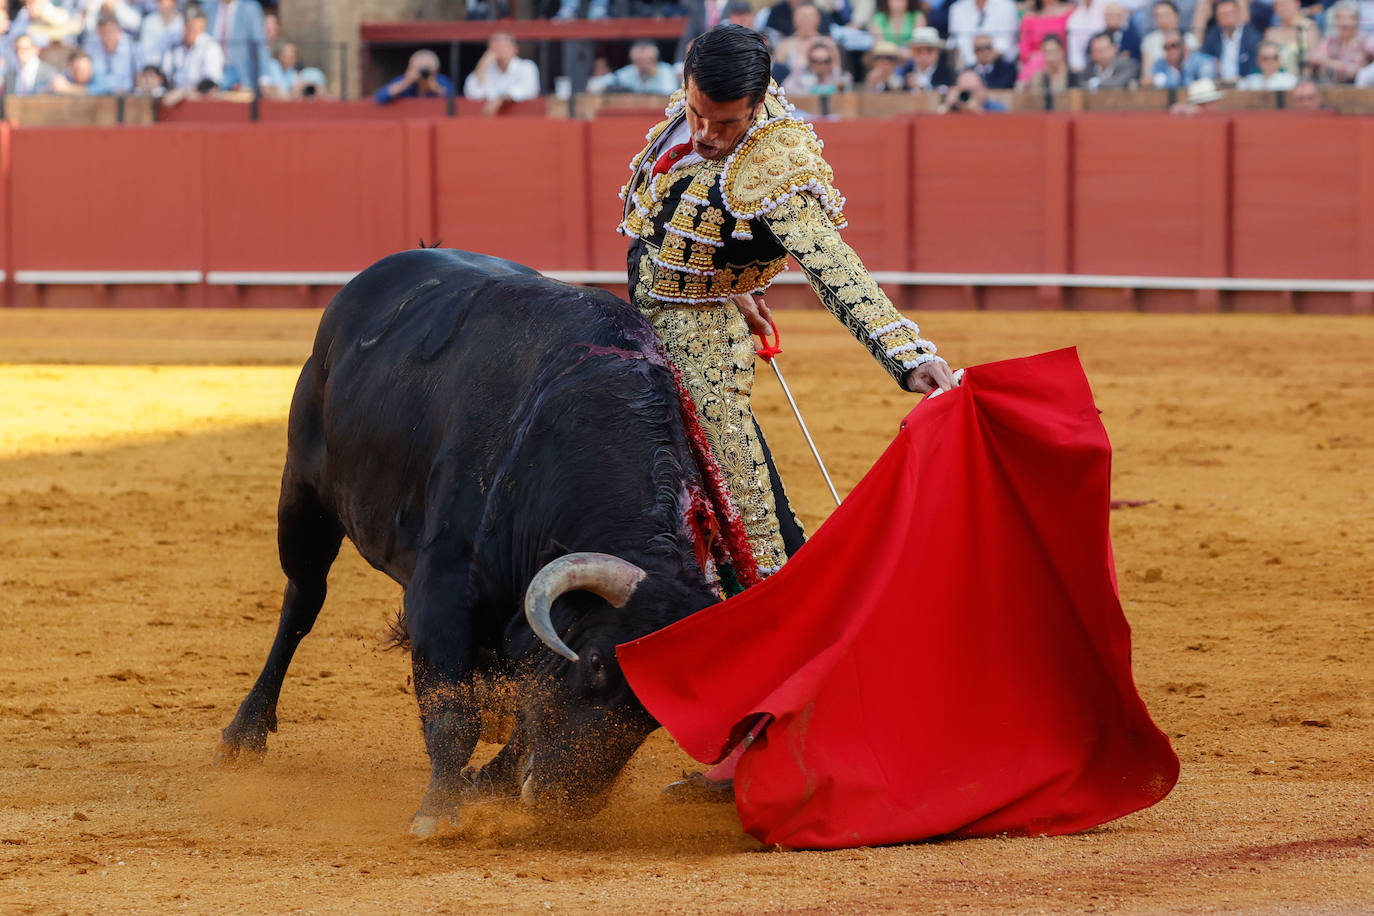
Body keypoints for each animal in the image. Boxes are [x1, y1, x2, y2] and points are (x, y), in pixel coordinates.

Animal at [212, 247, 796, 834]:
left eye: (657, 714)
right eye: (596, 663)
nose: (568, 803)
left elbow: (528, 708)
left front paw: (486, 783)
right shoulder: (442, 587)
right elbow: (453, 713)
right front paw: (439, 812)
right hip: (303, 494)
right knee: (302, 602)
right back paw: (244, 733)